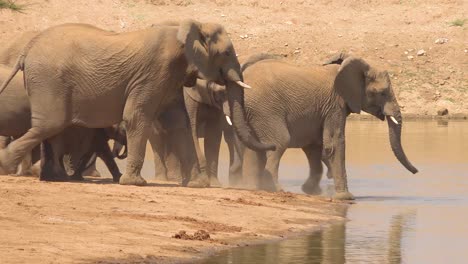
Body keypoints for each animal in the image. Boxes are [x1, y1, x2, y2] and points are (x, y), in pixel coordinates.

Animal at [0, 20, 274, 186]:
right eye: (226, 53)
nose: (271, 145)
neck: (186, 28)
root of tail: (27, 50)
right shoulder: (153, 72)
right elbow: (137, 117)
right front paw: (135, 183)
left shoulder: (170, 77)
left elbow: (179, 124)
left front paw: (198, 185)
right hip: (49, 81)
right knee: (50, 125)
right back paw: (7, 165)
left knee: (50, 128)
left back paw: (56, 178)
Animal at [230, 53, 416, 199]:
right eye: (382, 93)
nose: (416, 172)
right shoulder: (335, 105)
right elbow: (334, 143)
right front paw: (346, 198)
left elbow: (314, 146)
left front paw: (311, 191)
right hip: (265, 109)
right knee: (279, 142)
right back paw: (276, 190)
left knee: (253, 151)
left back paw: (253, 188)